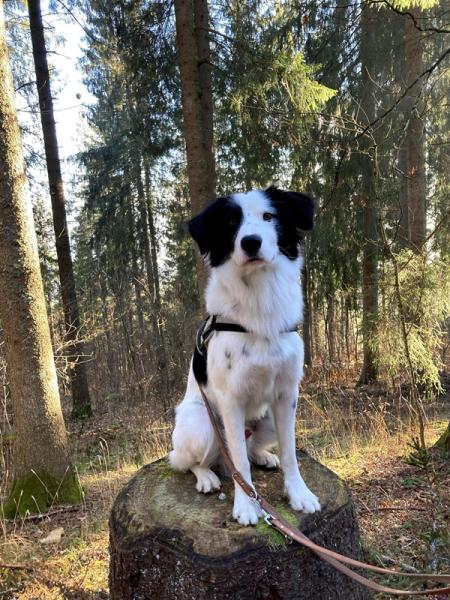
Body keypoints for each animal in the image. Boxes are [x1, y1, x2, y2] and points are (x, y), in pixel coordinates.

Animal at [169, 186, 320, 525]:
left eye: (269, 216)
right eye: (230, 224)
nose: (251, 242)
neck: (259, 297)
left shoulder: (287, 395)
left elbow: (291, 452)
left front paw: (299, 493)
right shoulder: (231, 400)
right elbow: (239, 463)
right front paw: (247, 505)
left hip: (266, 418)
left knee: (250, 450)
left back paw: (263, 455)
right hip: (202, 423)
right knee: (191, 462)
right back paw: (207, 477)